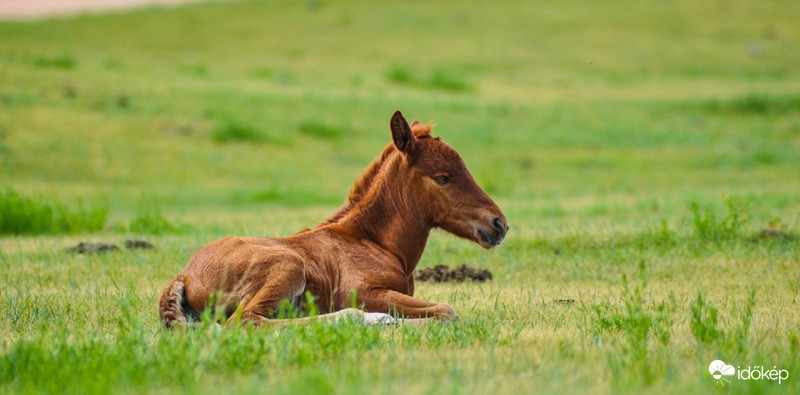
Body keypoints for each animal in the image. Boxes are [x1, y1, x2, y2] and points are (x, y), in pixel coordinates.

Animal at [158, 110, 506, 328]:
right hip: (288, 266)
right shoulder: (365, 292)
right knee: (245, 322)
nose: (499, 224)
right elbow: (447, 311)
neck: (372, 241)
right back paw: (364, 319)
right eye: (443, 178)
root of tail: (184, 276)